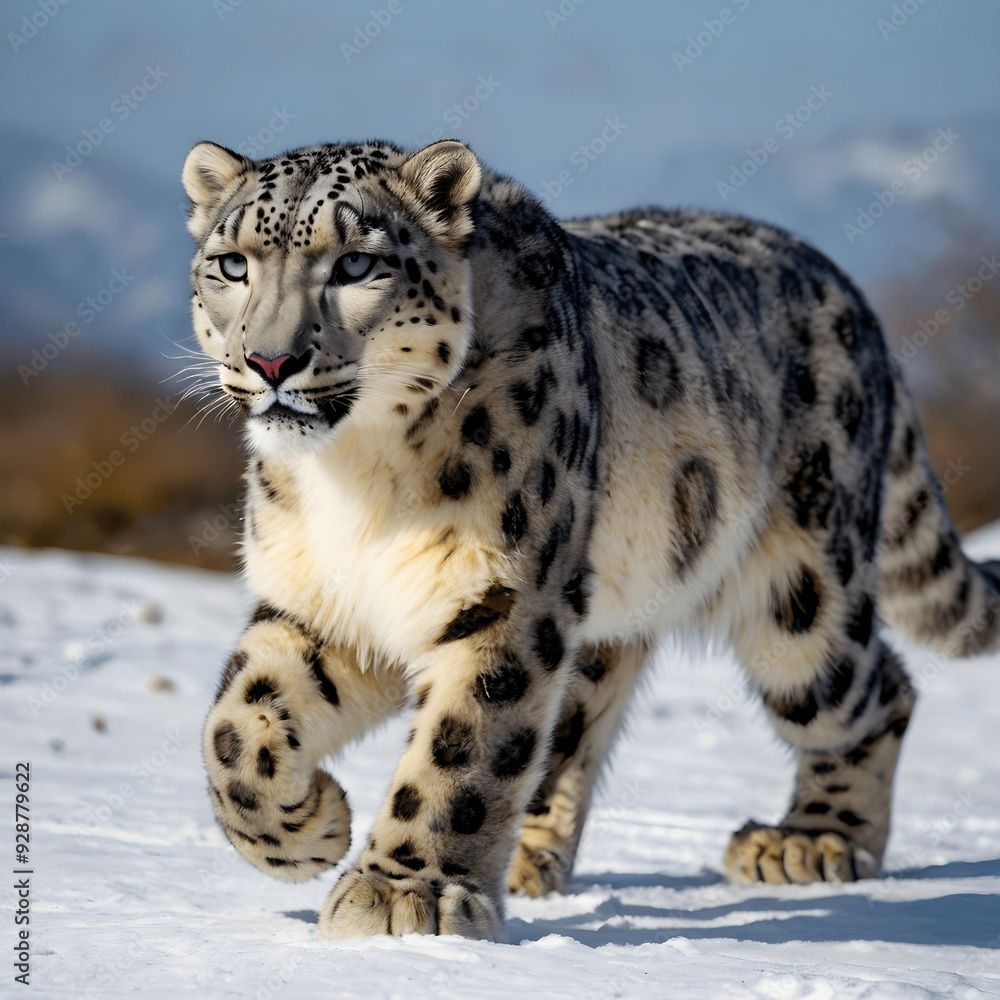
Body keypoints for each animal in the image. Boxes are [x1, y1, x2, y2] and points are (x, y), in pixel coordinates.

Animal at [182, 137, 1000, 942]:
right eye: (233, 263)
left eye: (356, 263)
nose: (271, 361)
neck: (355, 477)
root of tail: (850, 293)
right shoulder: (321, 597)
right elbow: (235, 720)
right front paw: (312, 826)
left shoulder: (502, 596)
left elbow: (463, 749)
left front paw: (405, 894)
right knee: (575, 720)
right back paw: (528, 861)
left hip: (802, 599)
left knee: (876, 686)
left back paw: (814, 840)